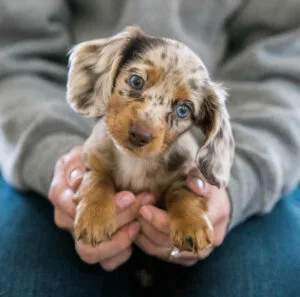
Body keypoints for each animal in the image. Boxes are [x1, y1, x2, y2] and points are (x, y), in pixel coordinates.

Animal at [65, 26, 234, 252]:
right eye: (136, 81)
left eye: (183, 110)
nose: (140, 135)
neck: (135, 162)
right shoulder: (93, 161)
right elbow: (96, 179)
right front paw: (95, 216)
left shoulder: (184, 175)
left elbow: (183, 192)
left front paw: (192, 223)